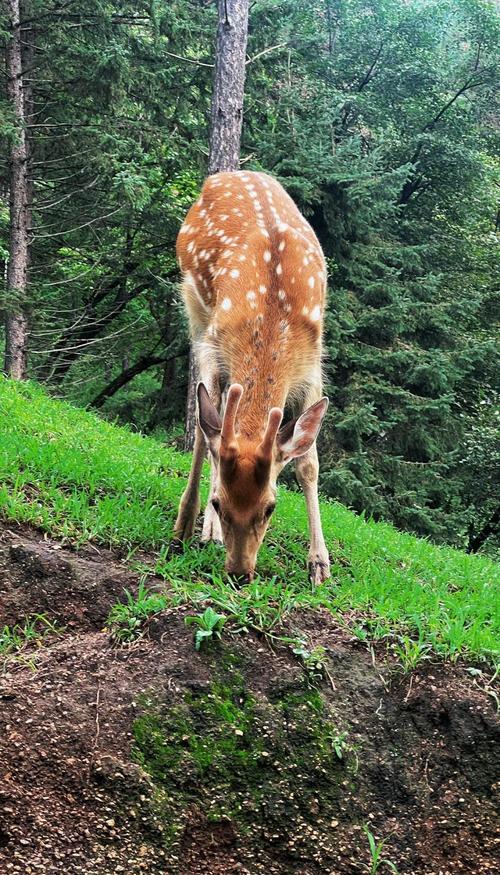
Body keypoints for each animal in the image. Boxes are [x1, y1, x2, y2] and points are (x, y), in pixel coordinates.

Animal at [173, 170, 330, 584]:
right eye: (219, 502)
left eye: (271, 506)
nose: (239, 573)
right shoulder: (215, 344)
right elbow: (203, 432)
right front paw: (188, 523)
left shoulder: (312, 366)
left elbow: (308, 462)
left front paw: (320, 563)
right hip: (194, 308)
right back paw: (204, 531)